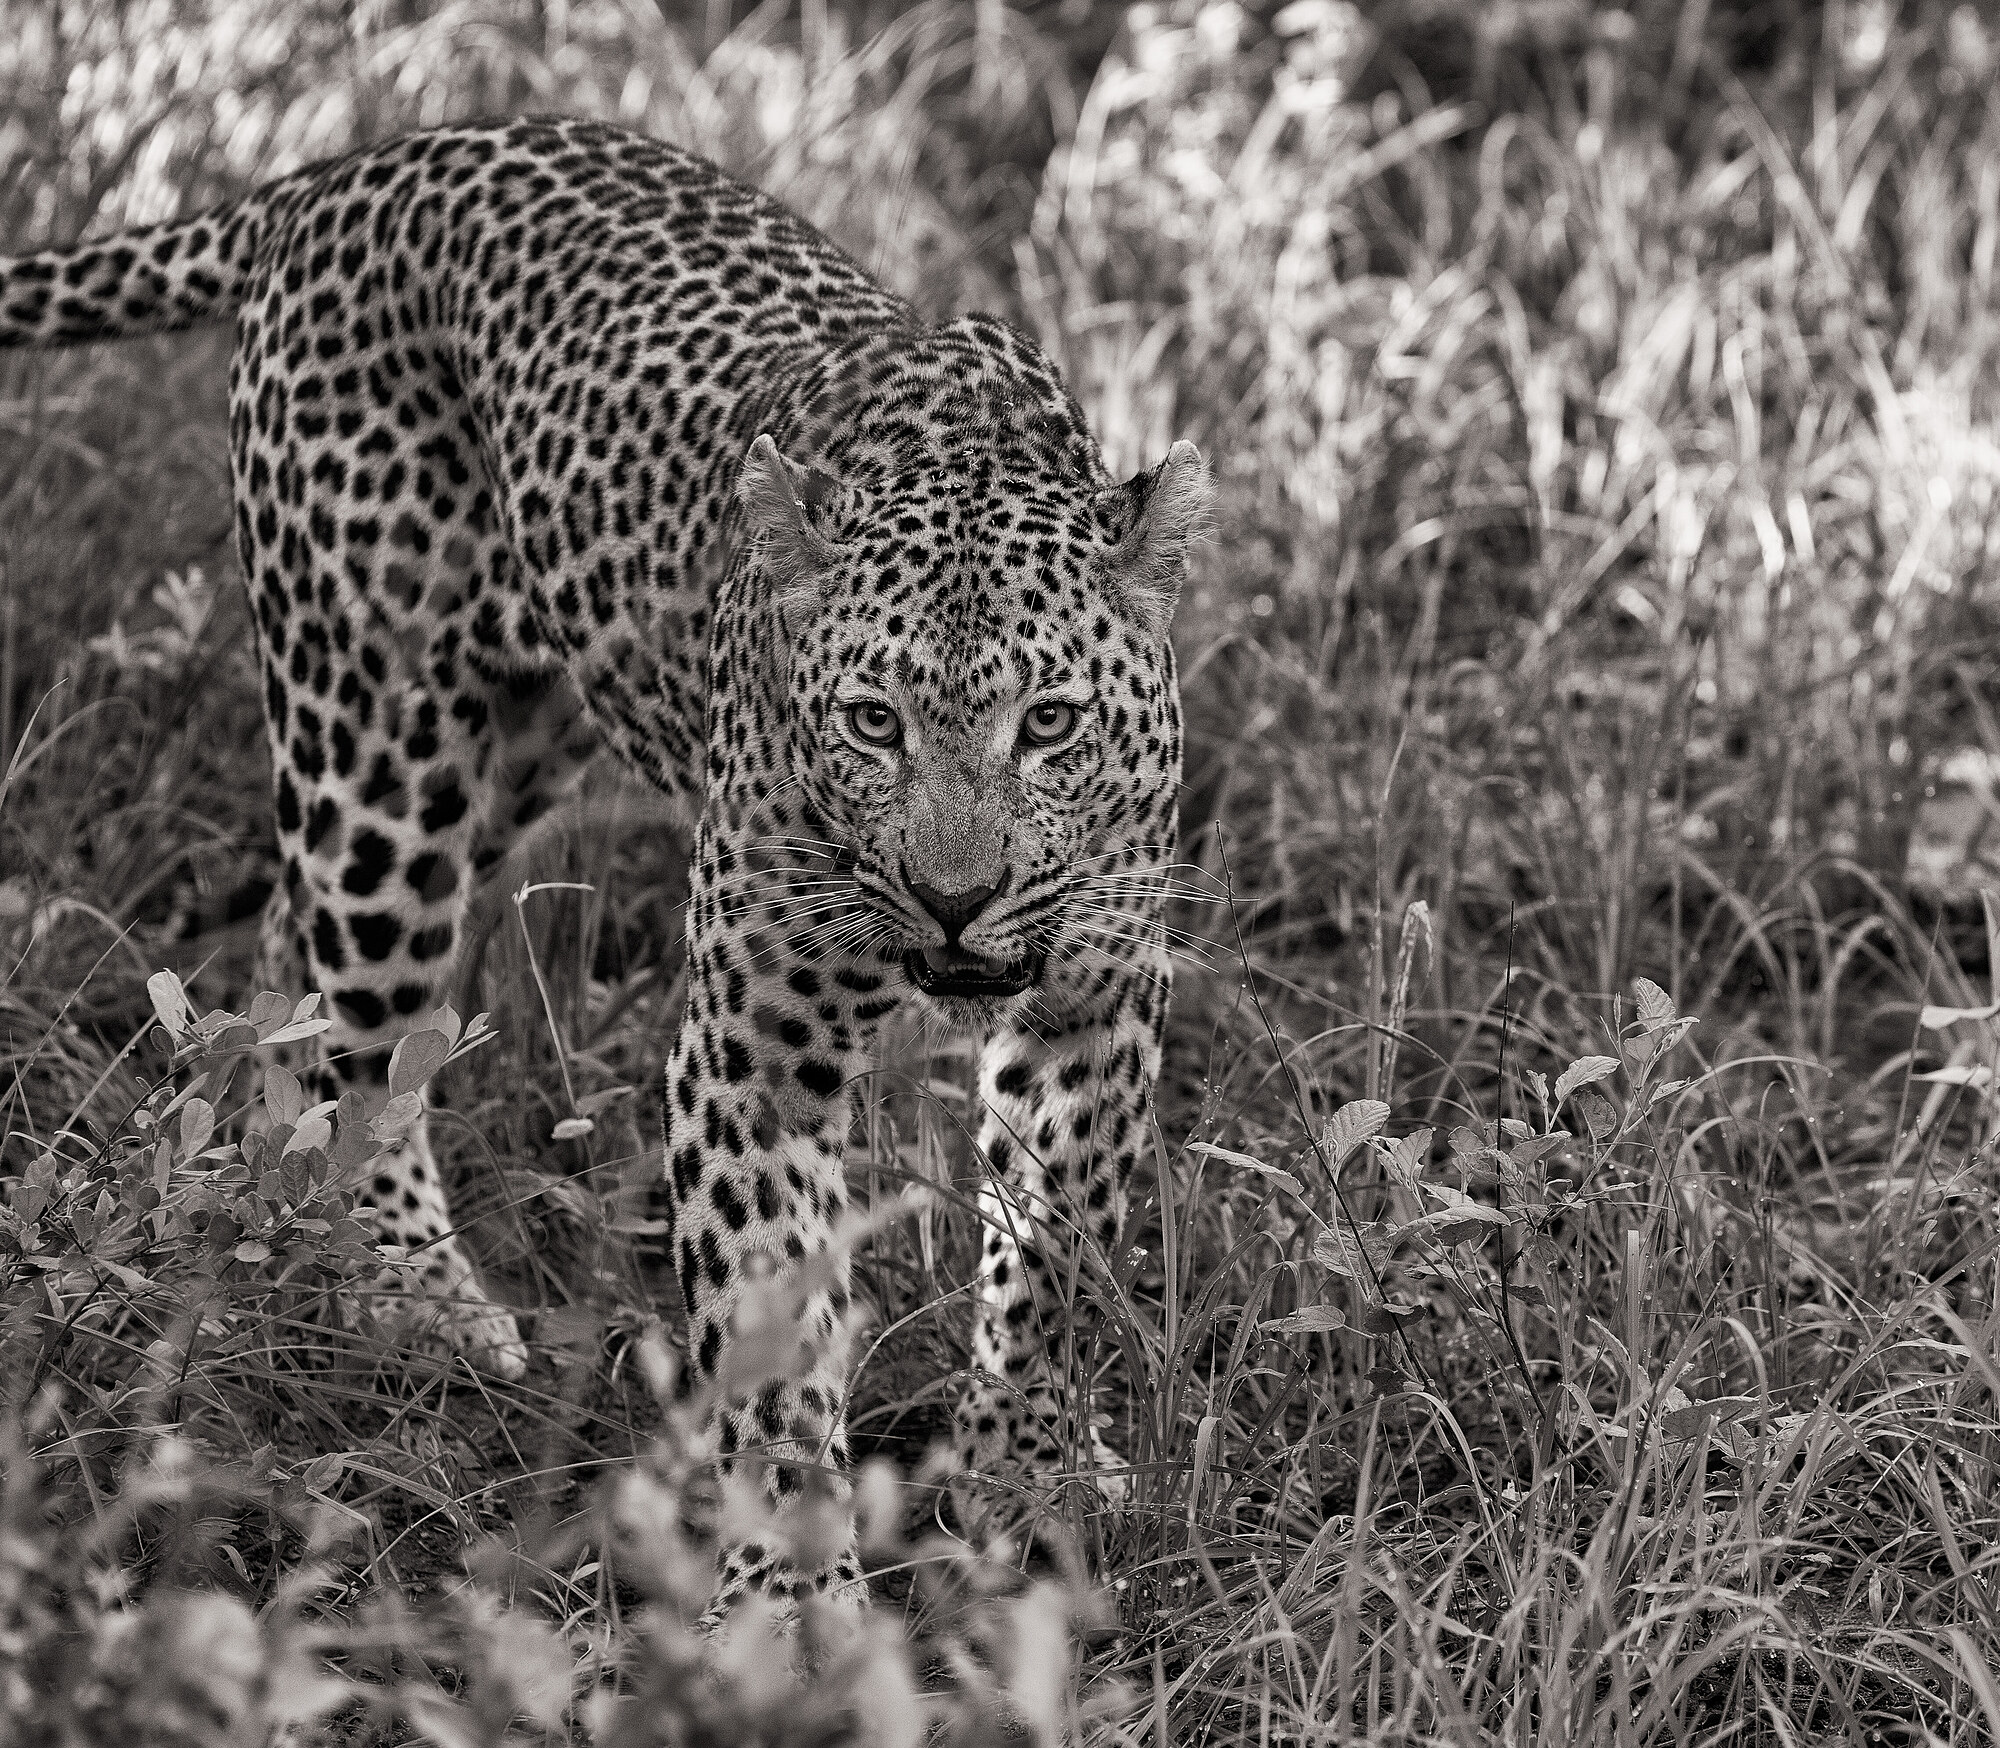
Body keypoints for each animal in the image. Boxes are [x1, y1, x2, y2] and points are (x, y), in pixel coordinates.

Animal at [0, 115, 1209, 1610]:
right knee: (367, 1017)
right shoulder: (755, 1047)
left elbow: (1053, 1251)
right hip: (379, 748)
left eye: (1050, 723)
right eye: (872, 722)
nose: (953, 897)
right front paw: (790, 1600)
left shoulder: (1091, 1008)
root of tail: (356, 166)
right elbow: (767, 1330)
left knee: (295, 954)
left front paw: (1027, 1475)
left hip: (513, 749)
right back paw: (417, 1300)